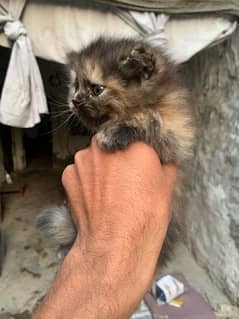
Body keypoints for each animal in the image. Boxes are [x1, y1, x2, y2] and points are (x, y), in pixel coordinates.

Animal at [36, 37, 195, 264]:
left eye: (96, 89)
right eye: (75, 86)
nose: (74, 101)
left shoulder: (175, 138)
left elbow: (150, 119)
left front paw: (114, 133)